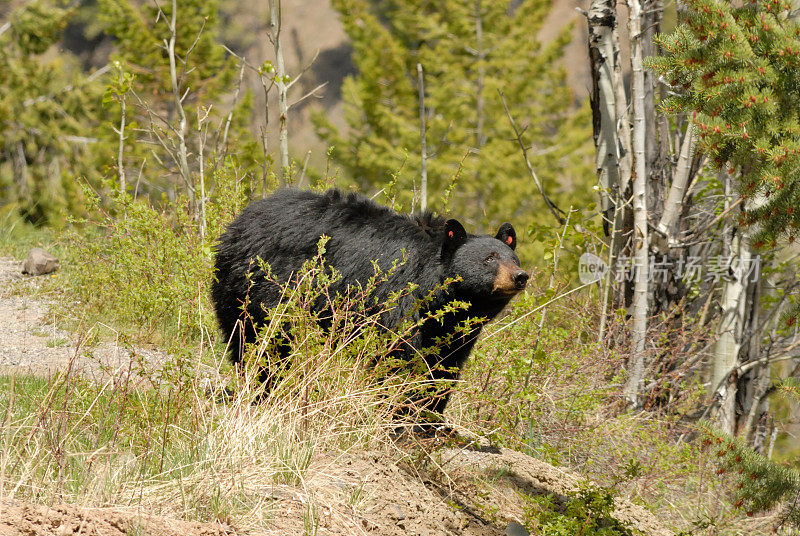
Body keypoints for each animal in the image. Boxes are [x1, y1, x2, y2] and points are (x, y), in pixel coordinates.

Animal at [209, 188, 528, 414]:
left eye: (513, 258)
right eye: (490, 259)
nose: (521, 276)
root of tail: (239, 221)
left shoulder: (453, 329)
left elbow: (443, 365)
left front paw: (428, 417)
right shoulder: (399, 299)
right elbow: (398, 357)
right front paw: (398, 412)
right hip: (260, 289)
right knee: (261, 343)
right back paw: (267, 389)